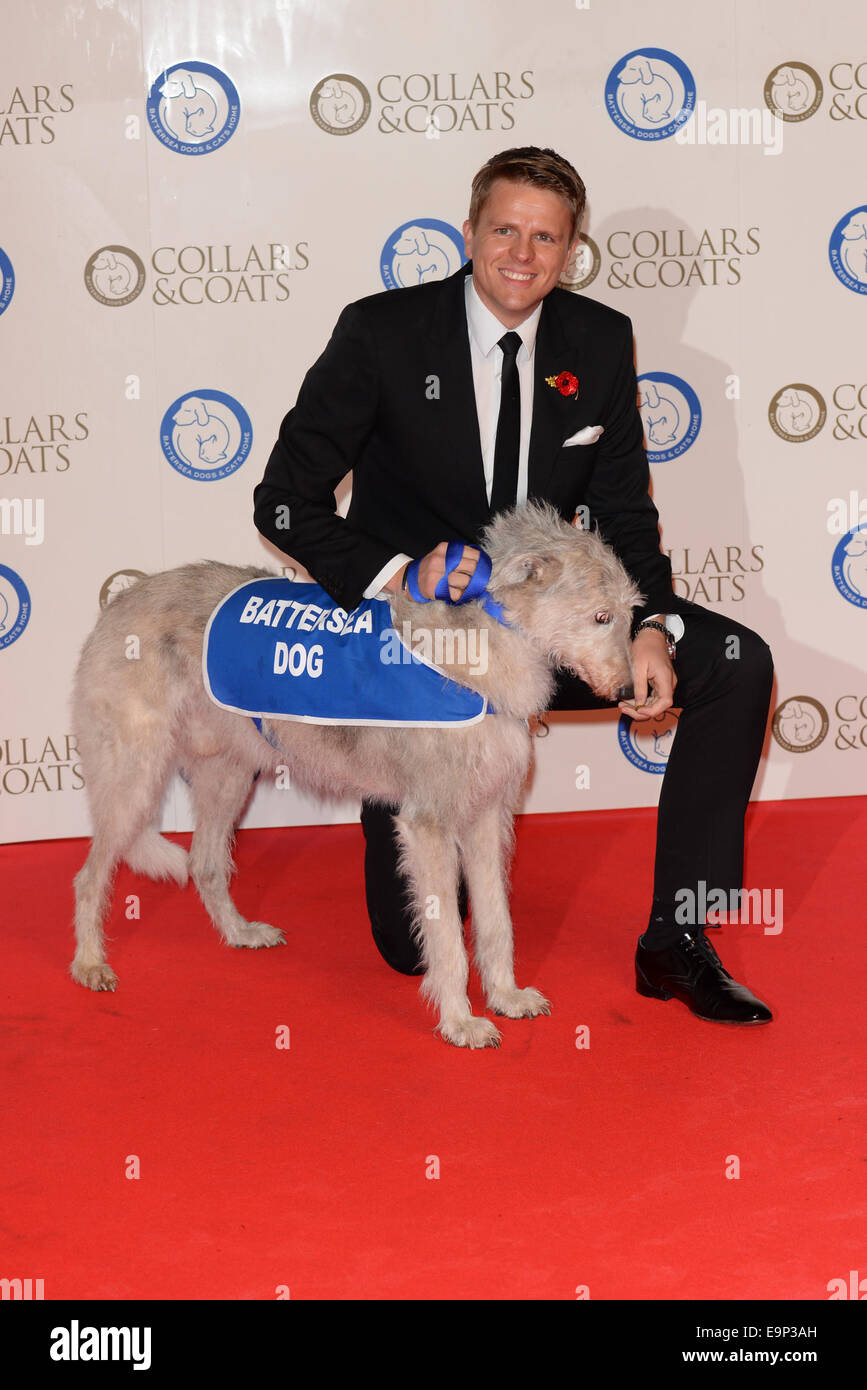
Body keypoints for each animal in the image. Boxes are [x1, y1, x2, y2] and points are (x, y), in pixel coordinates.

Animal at [71, 505, 639, 1045]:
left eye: (628, 614)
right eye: (600, 616)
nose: (632, 694)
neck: (481, 649)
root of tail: (123, 596)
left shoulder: (486, 814)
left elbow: (497, 921)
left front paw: (505, 995)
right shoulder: (428, 824)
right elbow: (447, 938)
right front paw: (459, 1021)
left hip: (227, 773)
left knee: (205, 863)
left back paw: (239, 933)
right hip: (135, 775)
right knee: (90, 875)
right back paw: (90, 963)